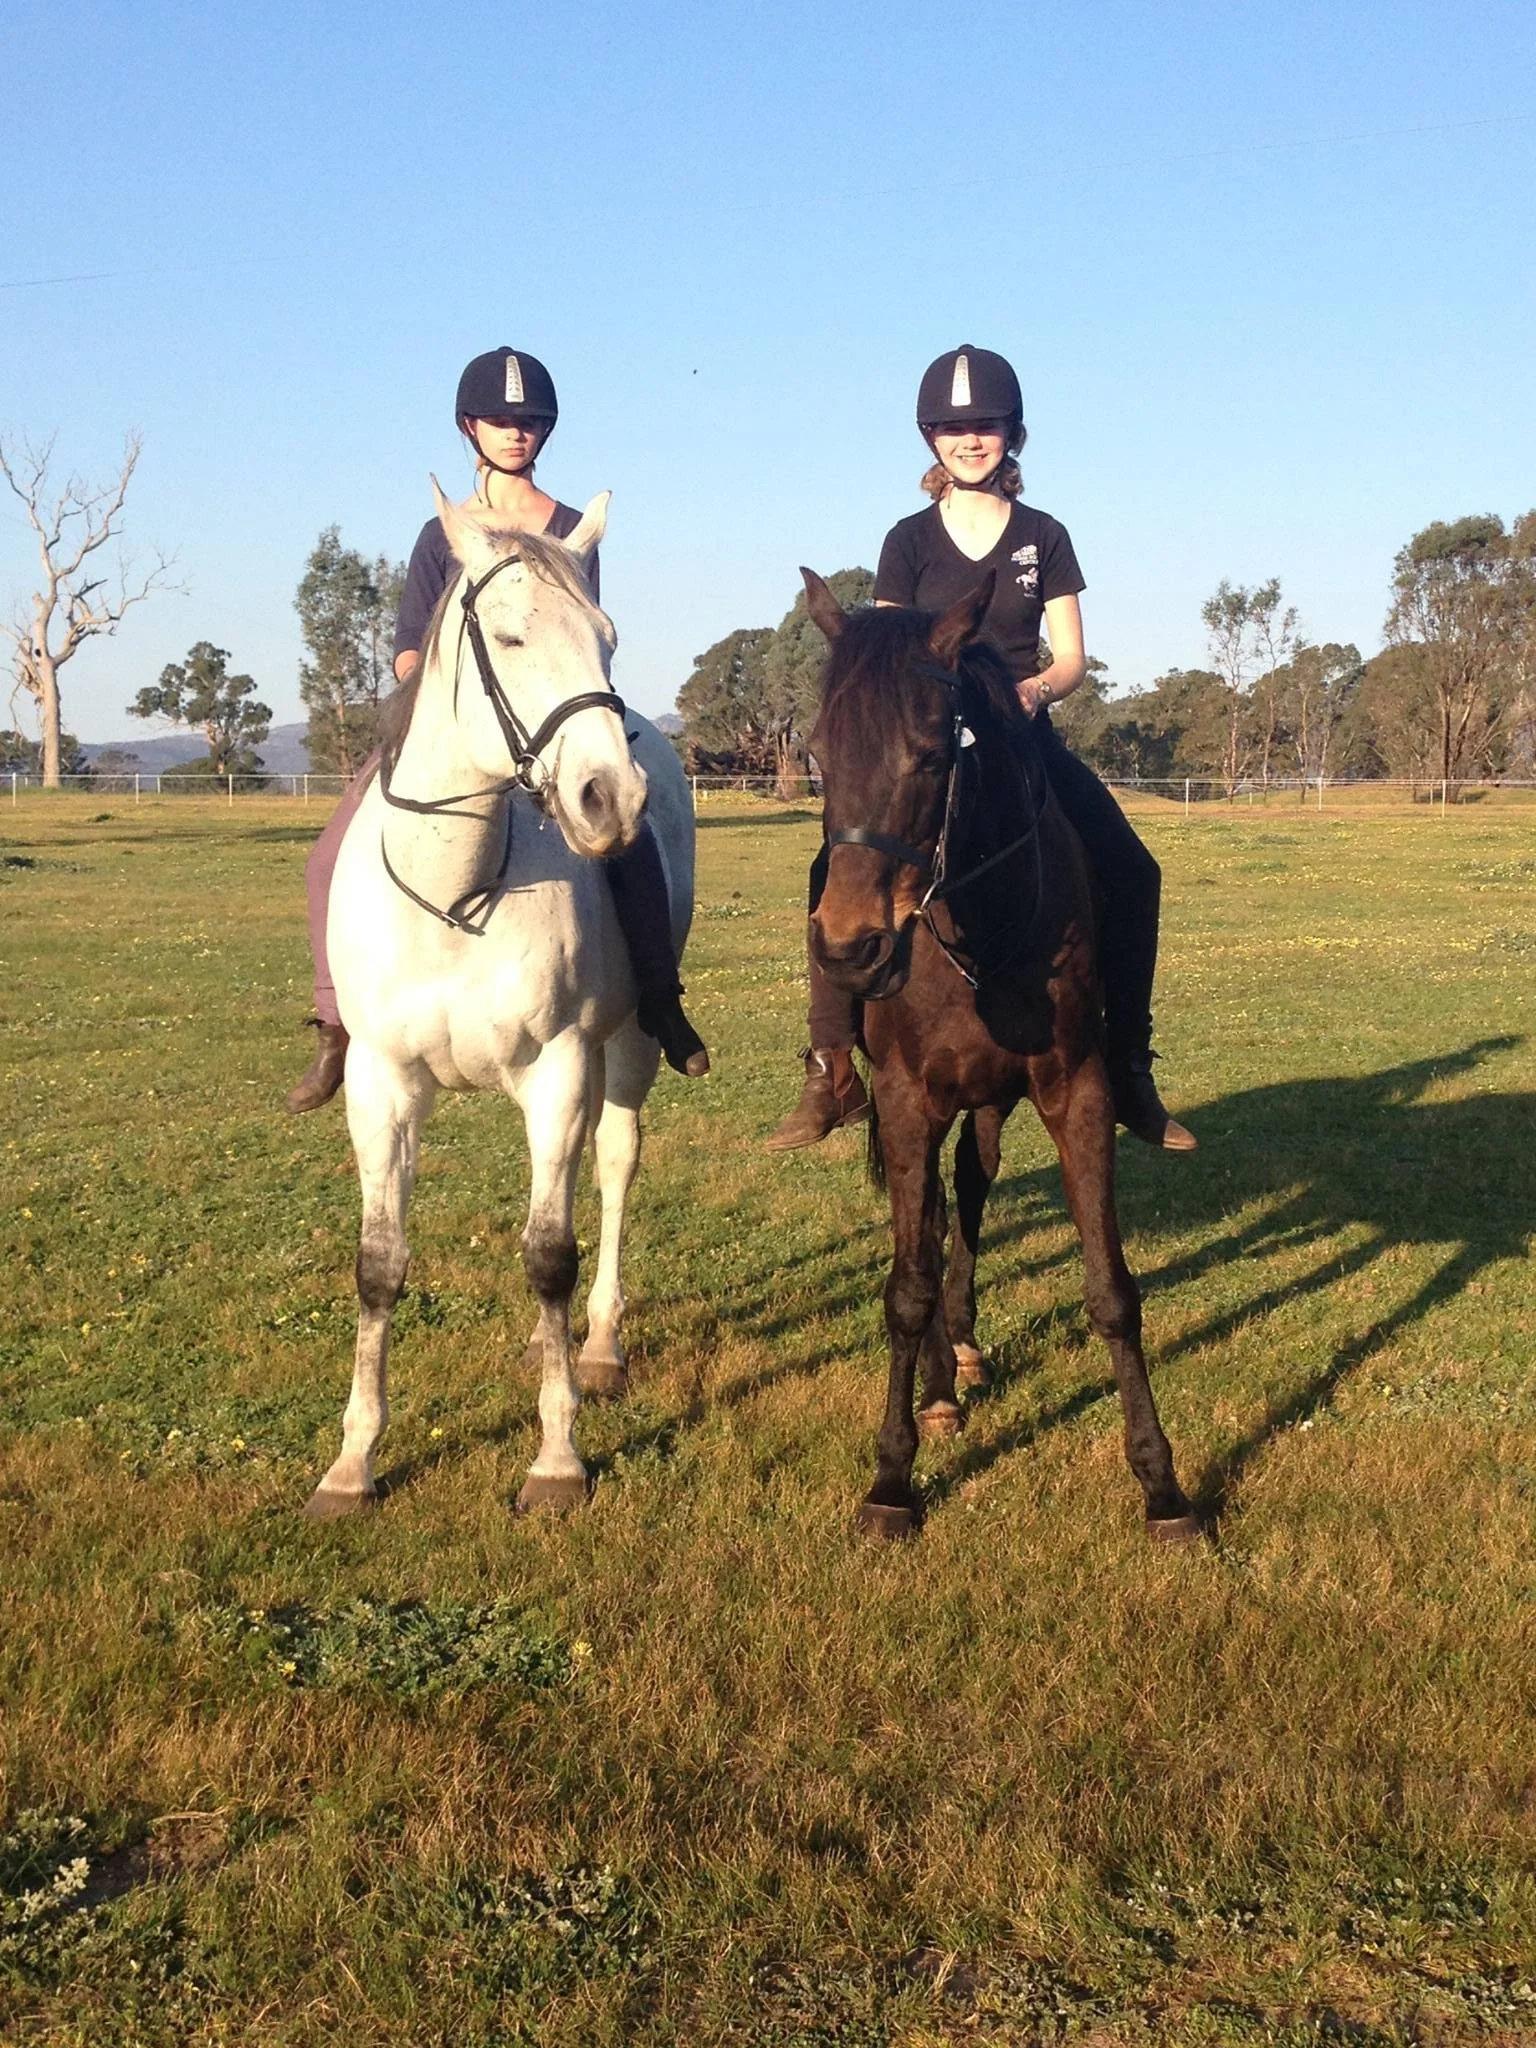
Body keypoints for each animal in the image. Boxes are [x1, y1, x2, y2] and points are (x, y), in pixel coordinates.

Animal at [800, 568, 1198, 1543]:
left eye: (932, 752)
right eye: (819, 753)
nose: (851, 950)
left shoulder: (1075, 1094)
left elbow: (1112, 1292)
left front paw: (1161, 1484)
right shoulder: (907, 1101)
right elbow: (905, 1288)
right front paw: (892, 1481)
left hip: (988, 1102)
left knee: (969, 1202)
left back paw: (965, 1354)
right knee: (937, 1220)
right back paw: (943, 1387)